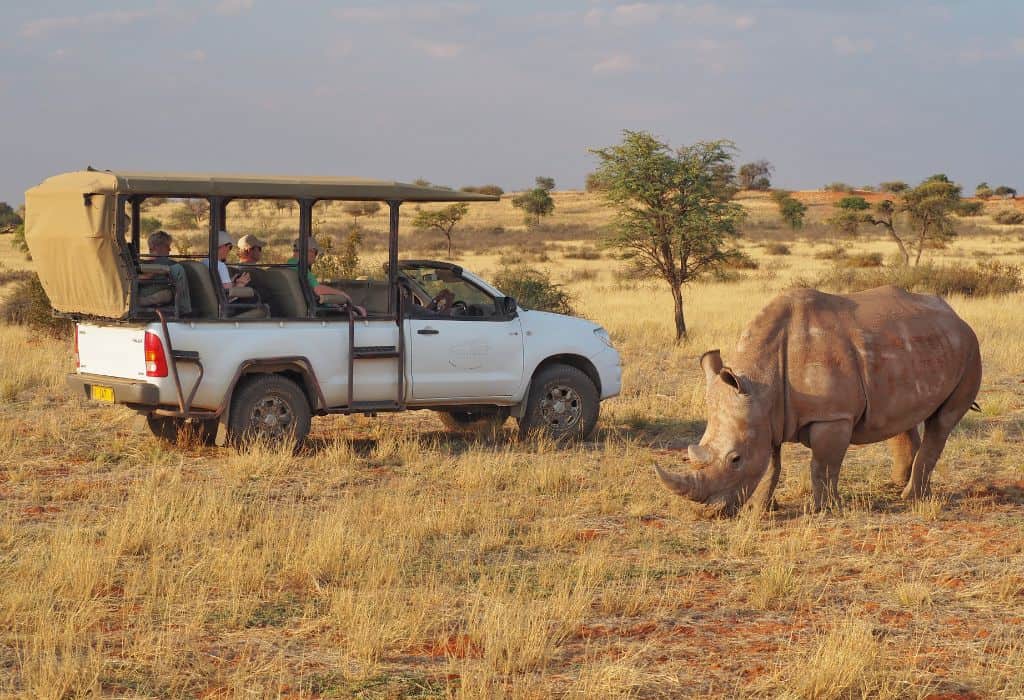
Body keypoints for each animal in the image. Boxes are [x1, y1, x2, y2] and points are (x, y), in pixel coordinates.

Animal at [655, 284, 983, 513]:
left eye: (735, 459)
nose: (708, 513)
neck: (762, 380)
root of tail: (956, 317)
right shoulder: (765, 413)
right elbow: (770, 464)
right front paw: (758, 508)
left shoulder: (831, 415)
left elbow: (823, 464)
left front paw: (824, 509)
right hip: (921, 346)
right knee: (902, 417)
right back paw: (896, 485)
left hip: (970, 350)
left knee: (942, 422)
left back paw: (910, 497)